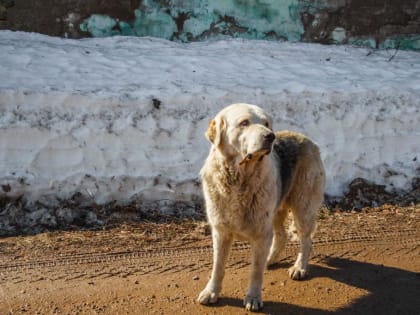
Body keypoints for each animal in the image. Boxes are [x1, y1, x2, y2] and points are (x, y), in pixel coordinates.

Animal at [197, 103, 324, 312]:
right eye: (244, 123)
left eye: (266, 124)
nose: (270, 136)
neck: (238, 178)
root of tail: (307, 139)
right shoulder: (220, 231)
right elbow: (218, 267)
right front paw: (211, 292)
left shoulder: (261, 233)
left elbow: (255, 271)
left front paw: (253, 297)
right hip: (276, 211)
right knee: (281, 236)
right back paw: (270, 259)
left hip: (303, 207)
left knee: (306, 240)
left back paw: (299, 267)